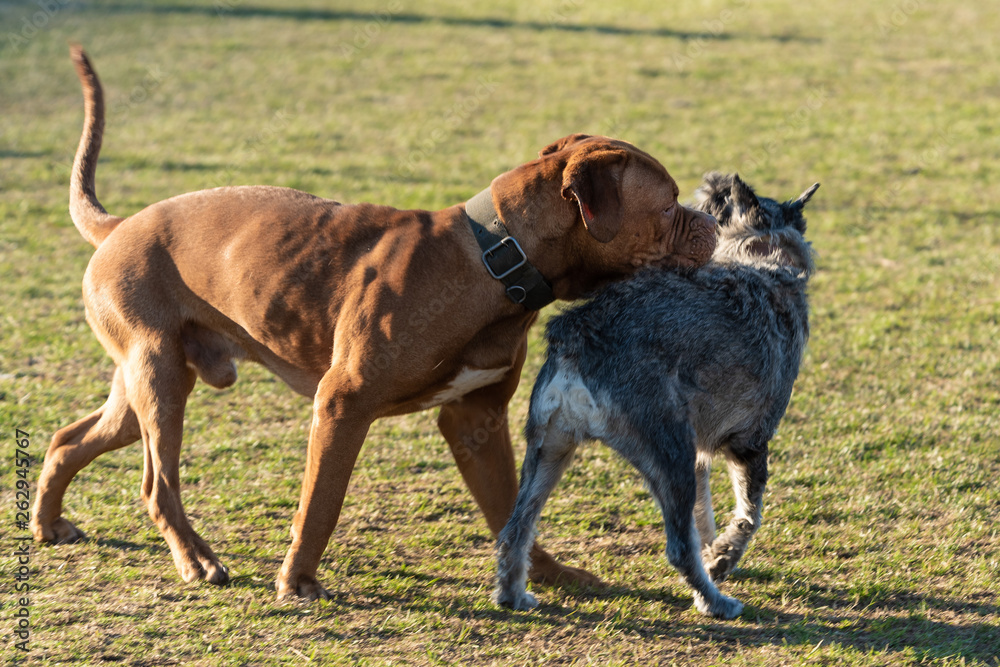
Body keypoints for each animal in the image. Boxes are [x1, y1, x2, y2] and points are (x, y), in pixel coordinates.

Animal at [31, 45, 720, 600]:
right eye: (667, 205)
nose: (714, 220)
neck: (496, 256)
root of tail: (119, 225)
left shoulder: (475, 420)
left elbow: (513, 509)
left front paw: (549, 575)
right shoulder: (343, 404)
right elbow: (322, 502)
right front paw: (298, 580)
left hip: (145, 386)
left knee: (69, 440)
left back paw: (47, 523)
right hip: (161, 378)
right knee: (156, 483)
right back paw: (196, 560)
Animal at [492, 174, 820, 620]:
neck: (762, 258)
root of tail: (578, 334)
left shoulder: (700, 456)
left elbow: (703, 516)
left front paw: (713, 553)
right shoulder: (749, 443)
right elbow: (749, 517)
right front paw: (723, 559)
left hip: (549, 451)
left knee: (516, 529)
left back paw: (513, 594)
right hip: (669, 456)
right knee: (678, 548)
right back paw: (714, 602)